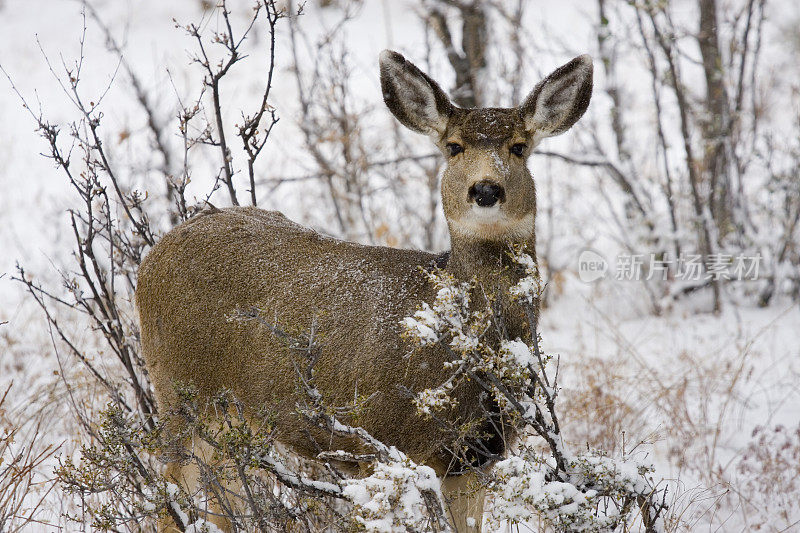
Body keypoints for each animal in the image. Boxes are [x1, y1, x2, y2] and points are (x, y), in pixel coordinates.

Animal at [134, 48, 592, 528]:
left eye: (519, 147)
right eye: (454, 147)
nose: (486, 189)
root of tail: (154, 254)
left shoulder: (475, 456)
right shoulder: (376, 443)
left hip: (232, 422)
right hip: (179, 393)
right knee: (169, 500)